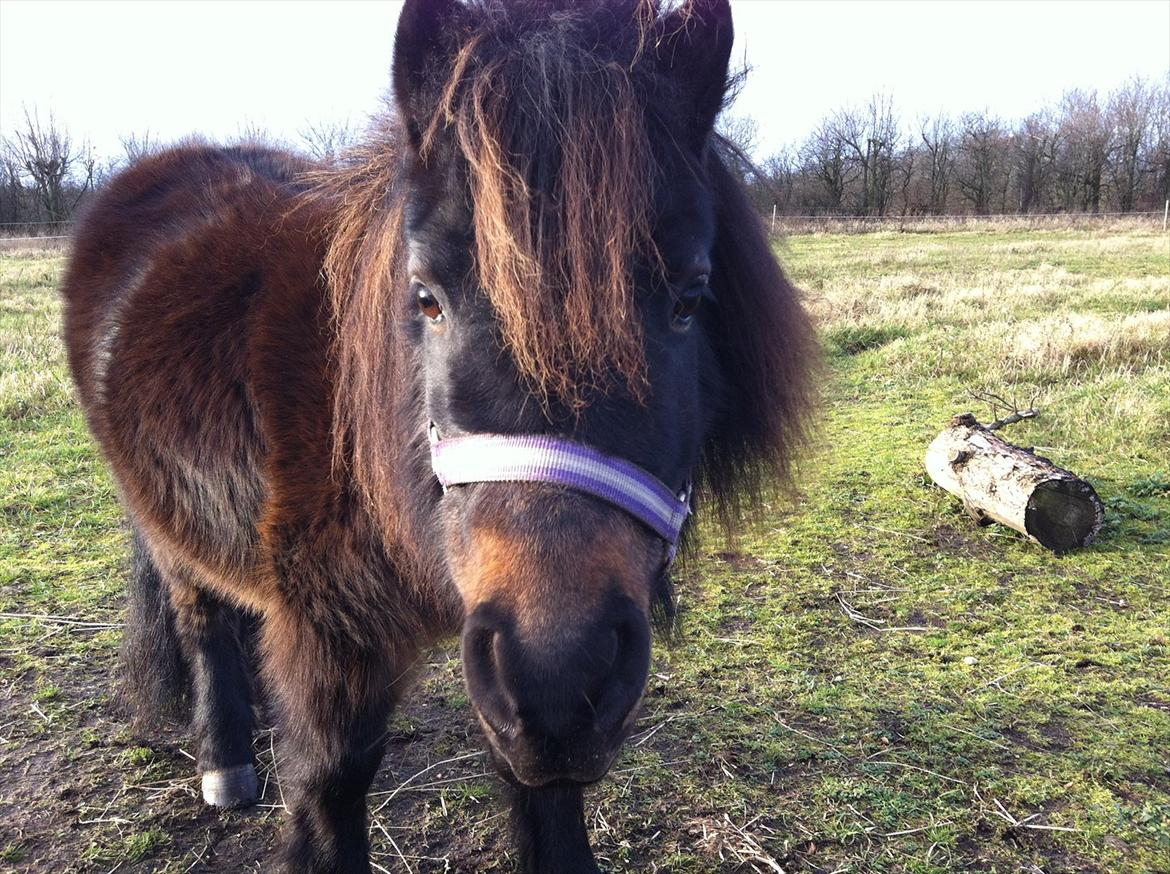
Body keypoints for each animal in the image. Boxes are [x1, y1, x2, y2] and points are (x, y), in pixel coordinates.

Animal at [64, 1, 814, 870]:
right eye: (426, 298)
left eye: (689, 298)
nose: (559, 678)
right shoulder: (332, 647)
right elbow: (330, 783)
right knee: (200, 616)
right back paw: (226, 762)